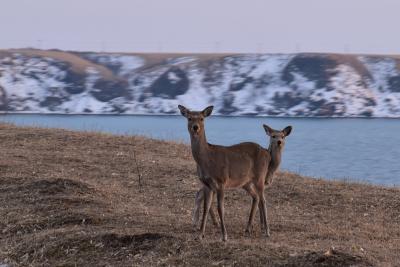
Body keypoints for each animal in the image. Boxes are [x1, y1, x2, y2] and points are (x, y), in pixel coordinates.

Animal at [180, 105, 270, 242]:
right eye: (189, 118)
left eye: (201, 118)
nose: (195, 127)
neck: (207, 160)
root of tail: (267, 153)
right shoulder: (207, 184)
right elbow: (206, 208)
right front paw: (200, 235)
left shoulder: (221, 181)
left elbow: (220, 208)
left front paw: (224, 236)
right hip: (246, 182)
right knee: (256, 197)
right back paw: (249, 228)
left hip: (260, 176)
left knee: (263, 200)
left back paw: (267, 231)